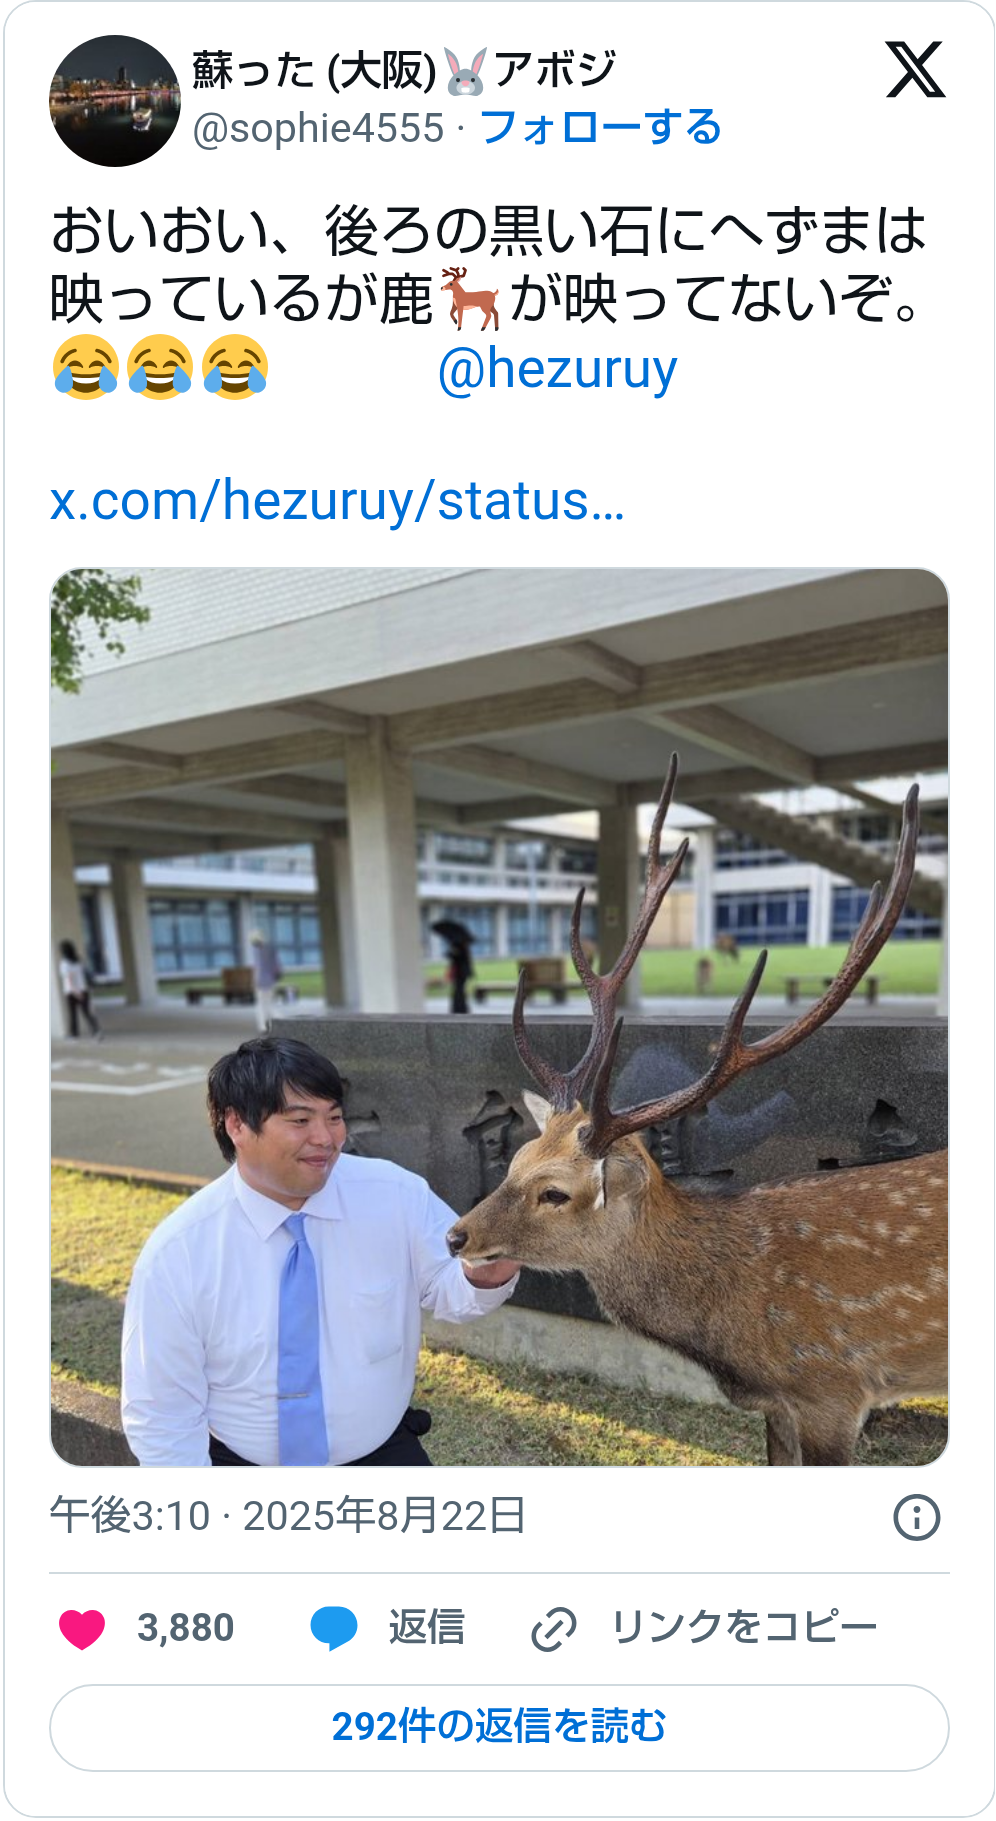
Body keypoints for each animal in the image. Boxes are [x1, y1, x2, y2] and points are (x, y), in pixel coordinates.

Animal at [447, 757, 948, 1466]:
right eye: (514, 1159)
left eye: (555, 1192)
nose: (455, 1235)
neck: (739, 1338)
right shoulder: (780, 1406)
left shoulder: (835, 1387)